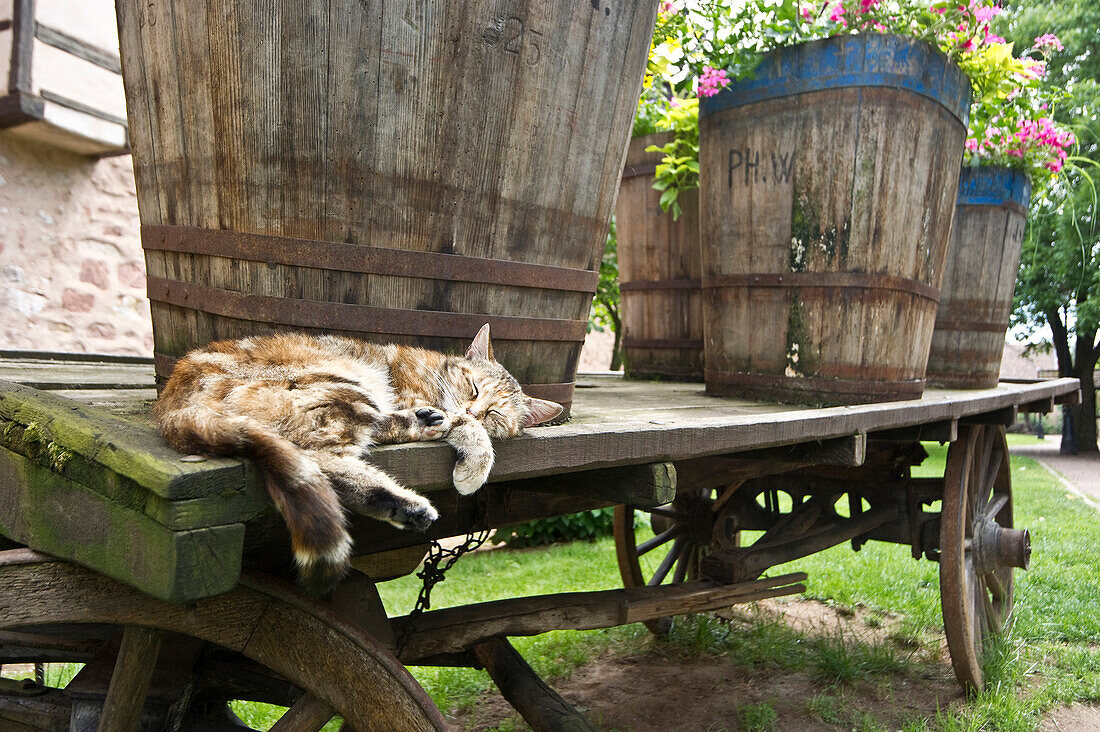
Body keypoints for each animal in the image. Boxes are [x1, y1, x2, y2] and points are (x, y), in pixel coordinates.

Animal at [154, 325, 563, 594]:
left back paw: (403, 501)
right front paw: (474, 463)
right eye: (474, 387)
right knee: (321, 455)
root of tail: (174, 402)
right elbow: (468, 429)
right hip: (336, 383)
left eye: (495, 413)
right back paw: (420, 434)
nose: (474, 409)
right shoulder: (419, 395)